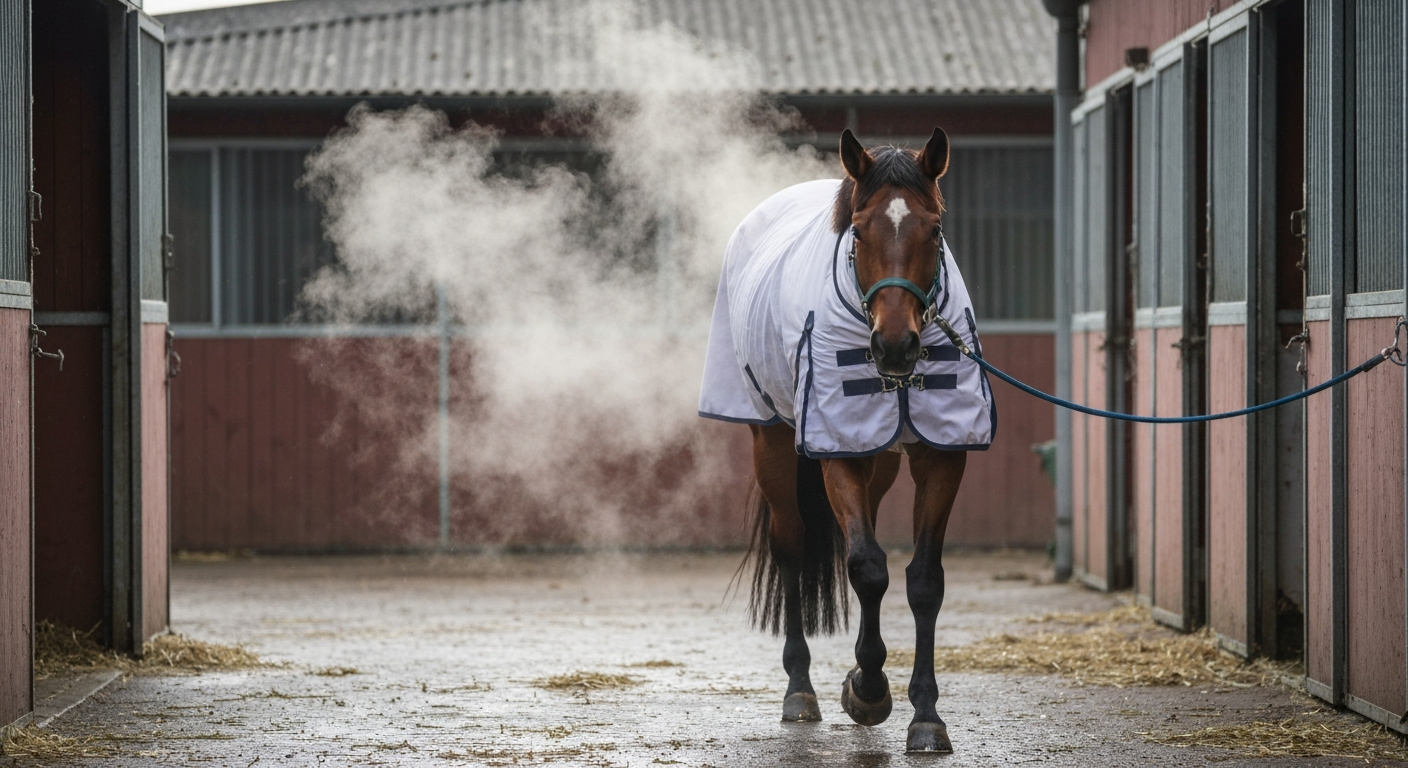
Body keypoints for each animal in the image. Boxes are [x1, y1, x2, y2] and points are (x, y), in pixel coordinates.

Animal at [700, 127, 989, 754]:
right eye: (859, 231)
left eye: (935, 230)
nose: (896, 345)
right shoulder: (837, 453)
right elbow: (867, 568)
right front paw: (869, 690)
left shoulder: (940, 456)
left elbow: (921, 580)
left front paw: (924, 713)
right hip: (774, 443)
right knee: (791, 544)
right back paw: (800, 689)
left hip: (876, 457)